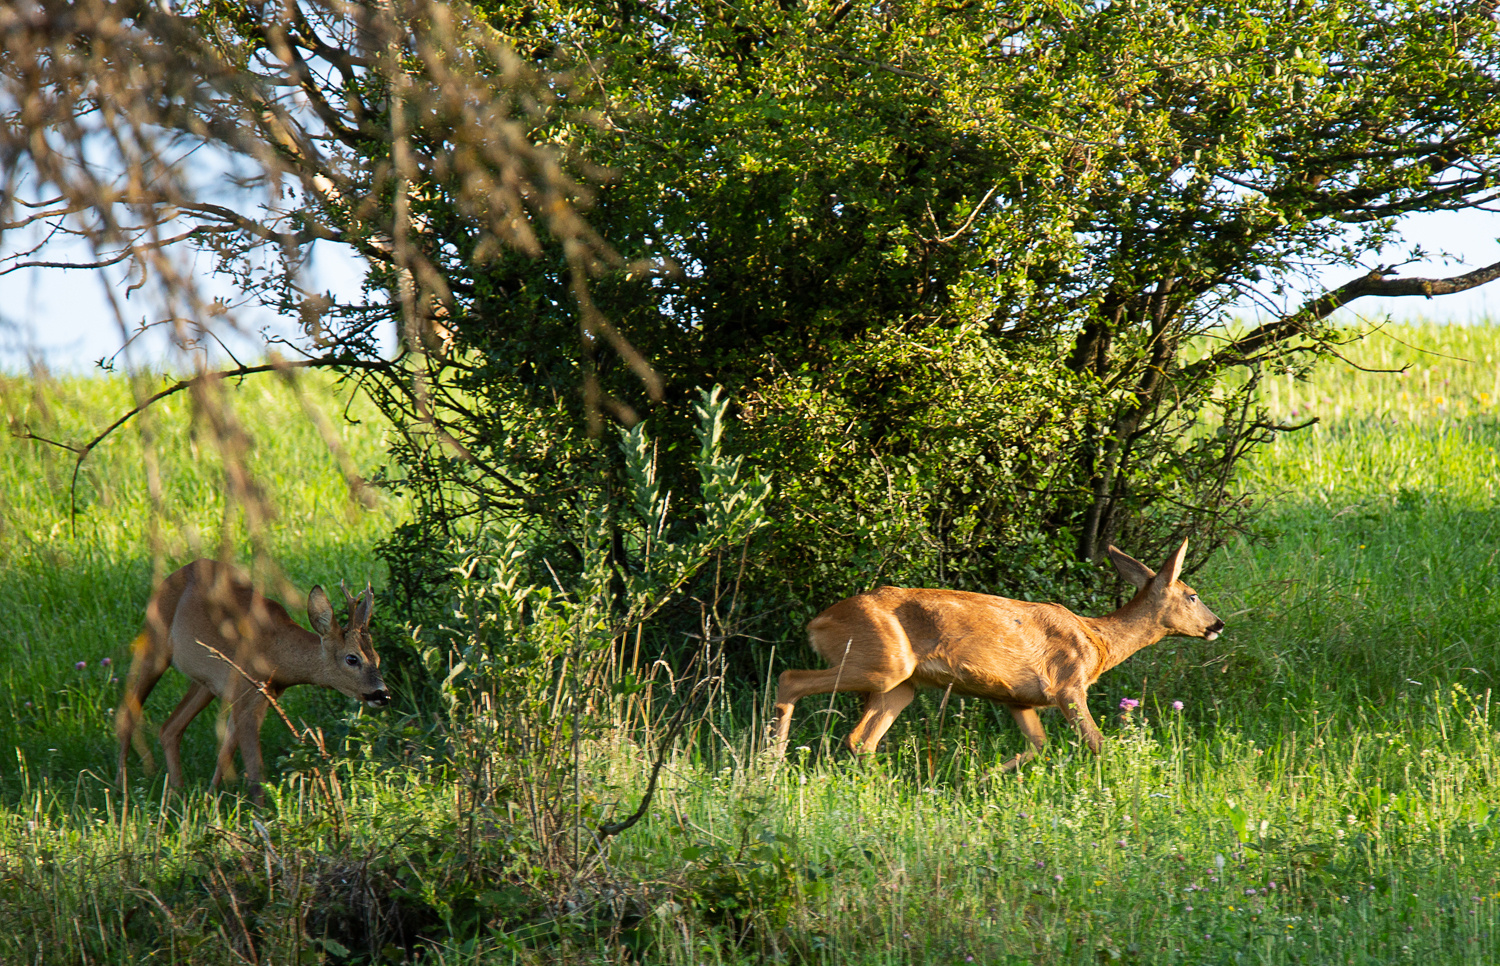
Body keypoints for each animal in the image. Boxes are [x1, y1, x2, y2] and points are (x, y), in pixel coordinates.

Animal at [115, 558, 393, 798]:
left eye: (378, 658)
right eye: (352, 658)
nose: (383, 694)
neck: (276, 654)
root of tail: (176, 572)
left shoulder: (256, 697)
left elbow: (224, 755)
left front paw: (210, 802)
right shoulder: (247, 694)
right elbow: (256, 771)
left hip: (204, 683)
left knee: (170, 728)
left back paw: (176, 792)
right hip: (155, 642)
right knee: (127, 712)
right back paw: (122, 789)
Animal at [774, 537, 1218, 768]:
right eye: (1193, 595)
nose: (1218, 625)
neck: (1099, 643)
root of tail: (818, 623)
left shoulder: (1019, 699)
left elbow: (1039, 746)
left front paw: (985, 777)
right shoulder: (1067, 684)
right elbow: (1096, 741)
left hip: (900, 684)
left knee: (860, 740)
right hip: (881, 664)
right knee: (789, 679)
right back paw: (771, 764)